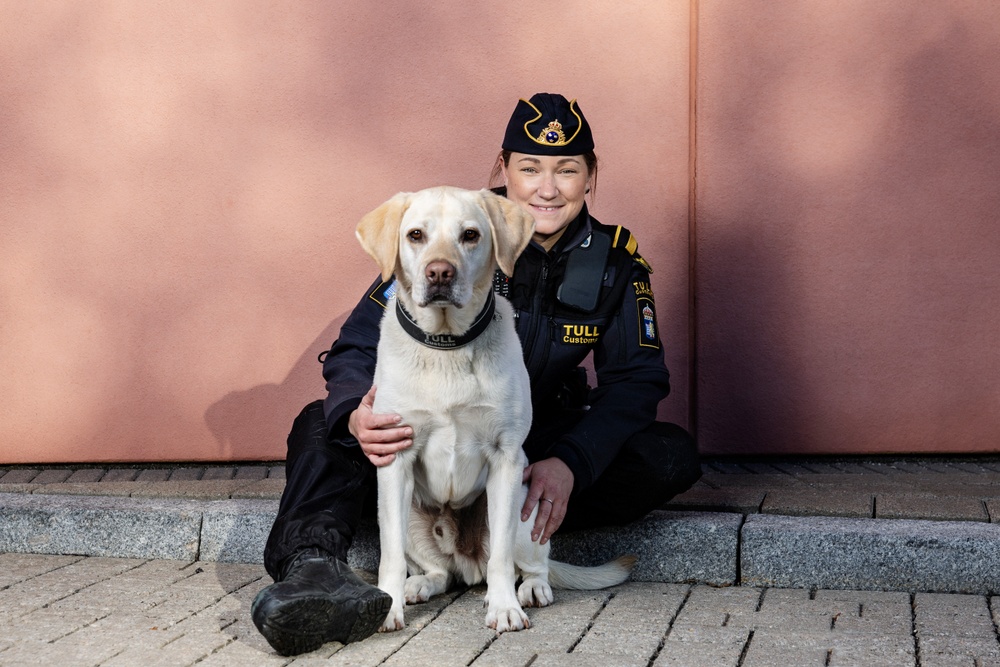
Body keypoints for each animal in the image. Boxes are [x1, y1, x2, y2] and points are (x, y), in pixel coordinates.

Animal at [356, 185, 628, 636]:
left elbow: (501, 558)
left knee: (530, 565)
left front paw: (503, 609)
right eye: (415, 235)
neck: (447, 344)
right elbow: (389, 557)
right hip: (409, 512)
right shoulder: (395, 458)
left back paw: (531, 590)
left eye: (470, 235)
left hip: (526, 505)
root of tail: (467, 562)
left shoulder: (506, 458)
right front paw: (388, 607)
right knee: (439, 572)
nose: (440, 273)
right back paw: (418, 586)